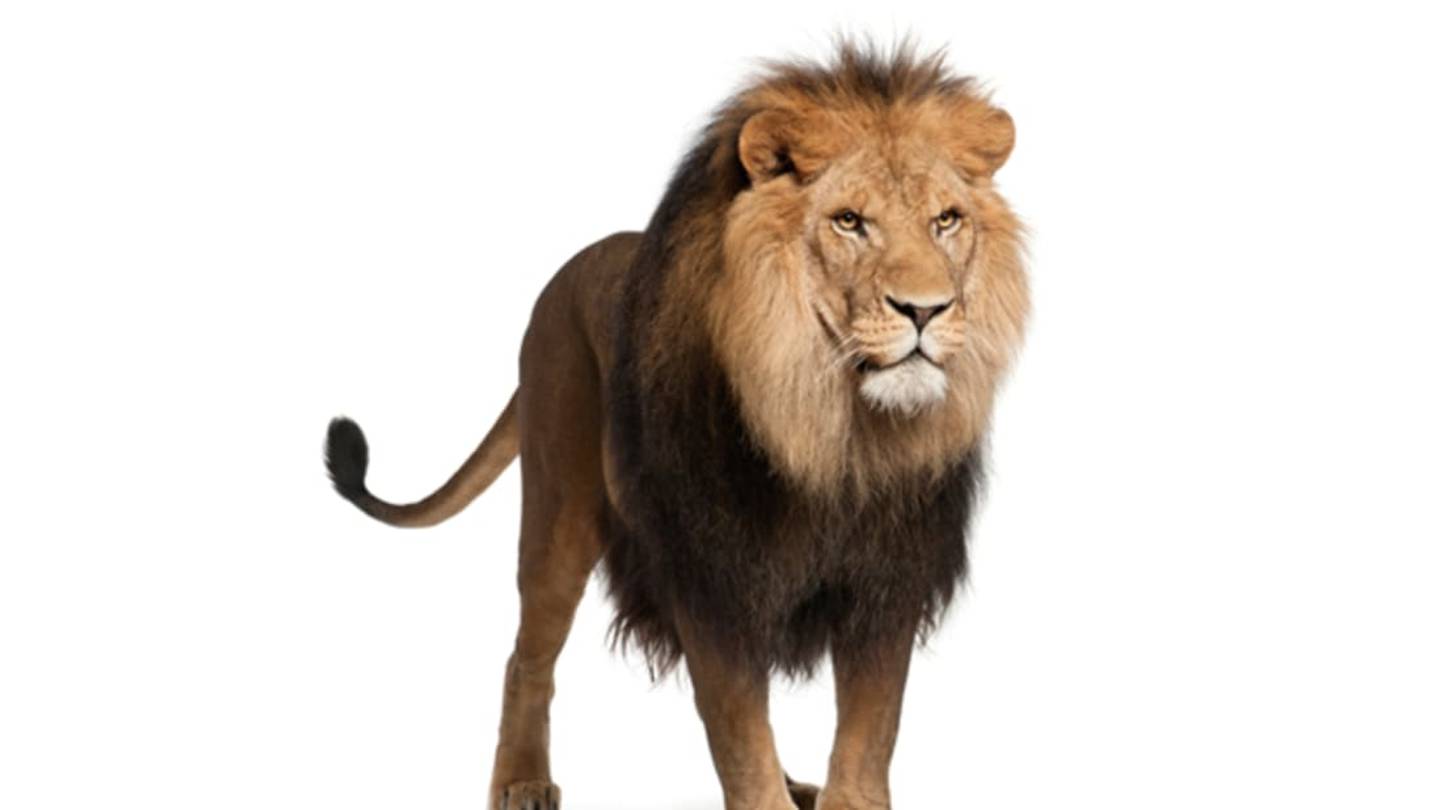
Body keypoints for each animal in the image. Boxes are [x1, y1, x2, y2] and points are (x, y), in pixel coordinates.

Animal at [325, 42, 1028, 810]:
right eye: (849, 221)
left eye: (946, 220)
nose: (926, 310)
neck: (830, 429)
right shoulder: (712, 576)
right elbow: (740, 737)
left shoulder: (887, 583)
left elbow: (866, 739)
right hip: (558, 508)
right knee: (526, 654)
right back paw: (522, 780)